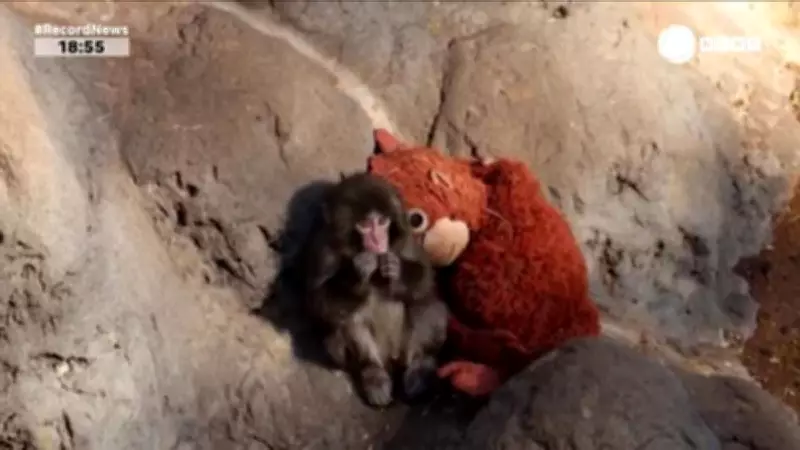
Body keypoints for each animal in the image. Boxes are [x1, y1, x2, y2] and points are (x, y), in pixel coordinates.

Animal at [299, 172, 448, 407]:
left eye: (382, 221)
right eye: (365, 224)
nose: (378, 240)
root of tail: (392, 357)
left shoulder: (405, 238)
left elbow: (426, 277)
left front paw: (397, 270)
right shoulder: (324, 249)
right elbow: (318, 301)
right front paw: (357, 272)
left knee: (425, 305)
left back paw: (419, 366)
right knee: (344, 320)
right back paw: (373, 373)